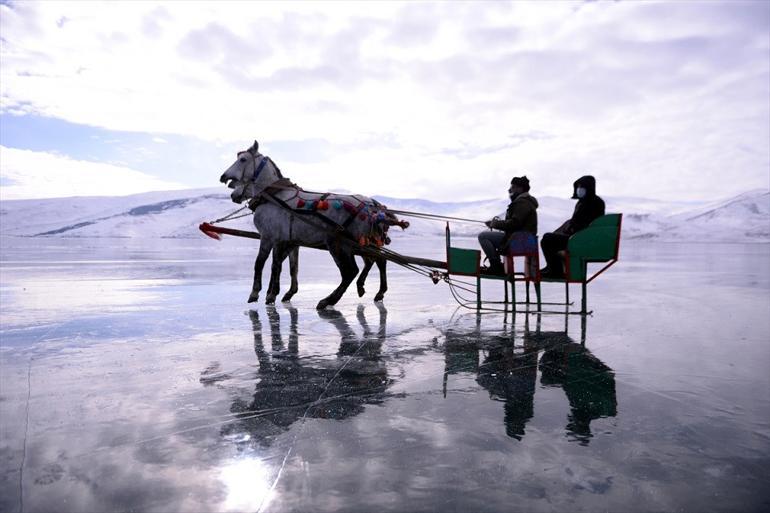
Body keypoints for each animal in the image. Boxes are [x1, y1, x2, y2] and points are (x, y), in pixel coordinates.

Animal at [218, 139, 404, 308]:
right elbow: (288, 266)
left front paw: (257, 293)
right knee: (377, 261)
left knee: (351, 271)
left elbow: (263, 264)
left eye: (243, 159)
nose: (223, 177)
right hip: (363, 243)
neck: (275, 196)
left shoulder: (269, 237)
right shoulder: (289, 241)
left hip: (338, 243)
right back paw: (375, 292)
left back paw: (328, 300)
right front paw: (279, 293)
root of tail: (375, 207)